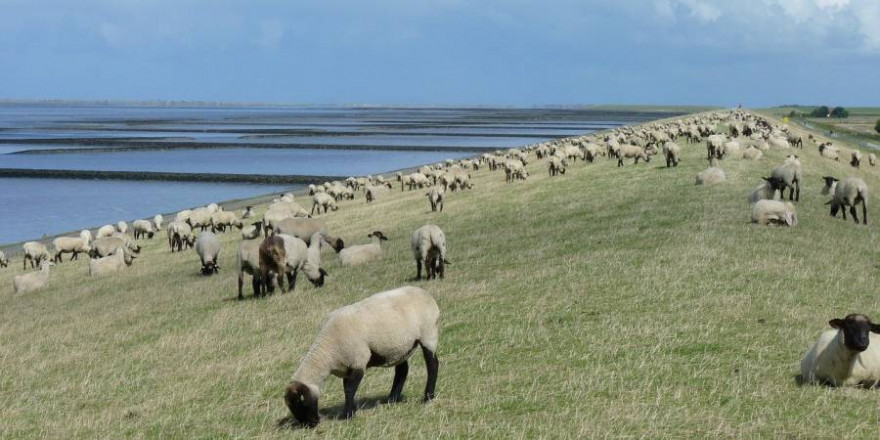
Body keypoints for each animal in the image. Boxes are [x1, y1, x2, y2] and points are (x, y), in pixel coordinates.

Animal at [284, 286, 438, 426]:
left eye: (301, 404)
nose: (311, 424)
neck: (327, 351)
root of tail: (426, 293)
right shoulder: (347, 366)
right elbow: (347, 388)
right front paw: (351, 410)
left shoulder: (358, 360)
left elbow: (349, 389)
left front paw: (347, 415)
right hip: (400, 347)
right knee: (402, 370)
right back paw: (392, 399)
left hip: (428, 334)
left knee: (432, 365)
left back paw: (428, 397)